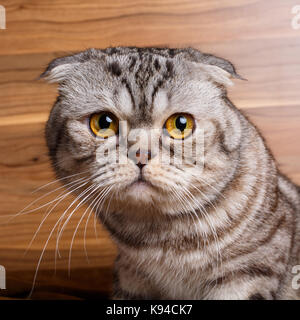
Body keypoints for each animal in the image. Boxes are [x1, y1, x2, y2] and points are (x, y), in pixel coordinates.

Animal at [40, 47, 300, 300]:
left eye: (181, 124)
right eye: (103, 123)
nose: (140, 154)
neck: (161, 238)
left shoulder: (250, 271)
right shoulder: (130, 275)